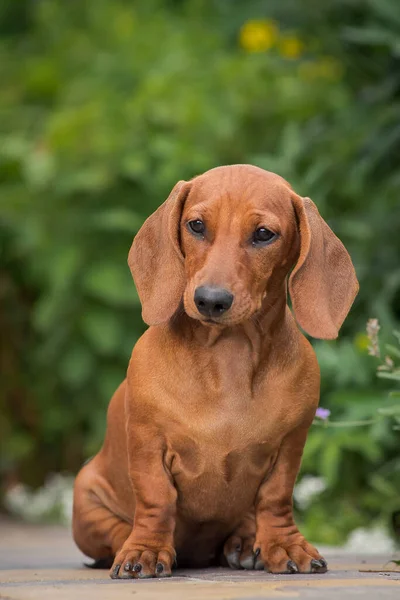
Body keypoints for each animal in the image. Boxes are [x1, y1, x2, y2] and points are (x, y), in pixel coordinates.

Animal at [72, 163, 360, 576]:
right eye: (196, 225)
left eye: (263, 234)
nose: (210, 300)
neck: (228, 355)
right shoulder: (147, 441)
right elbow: (156, 498)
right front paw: (145, 550)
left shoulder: (290, 445)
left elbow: (276, 498)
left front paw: (283, 545)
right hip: (86, 496)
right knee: (112, 532)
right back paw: (129, 545)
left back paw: (244, 544)